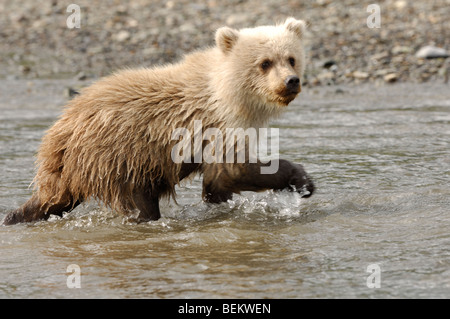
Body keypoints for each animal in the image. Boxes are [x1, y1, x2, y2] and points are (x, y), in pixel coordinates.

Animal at [3, 18, 314, 228]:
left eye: (291, 58)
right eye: (265, 62)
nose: (291, 81)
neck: (230, 94)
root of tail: (59, 132)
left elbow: (218, 182)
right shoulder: (218, 124)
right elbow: (233, 169)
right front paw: (301, 180)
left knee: (54, 200)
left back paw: (16, 215)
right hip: (119, 157)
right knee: (139, 204)